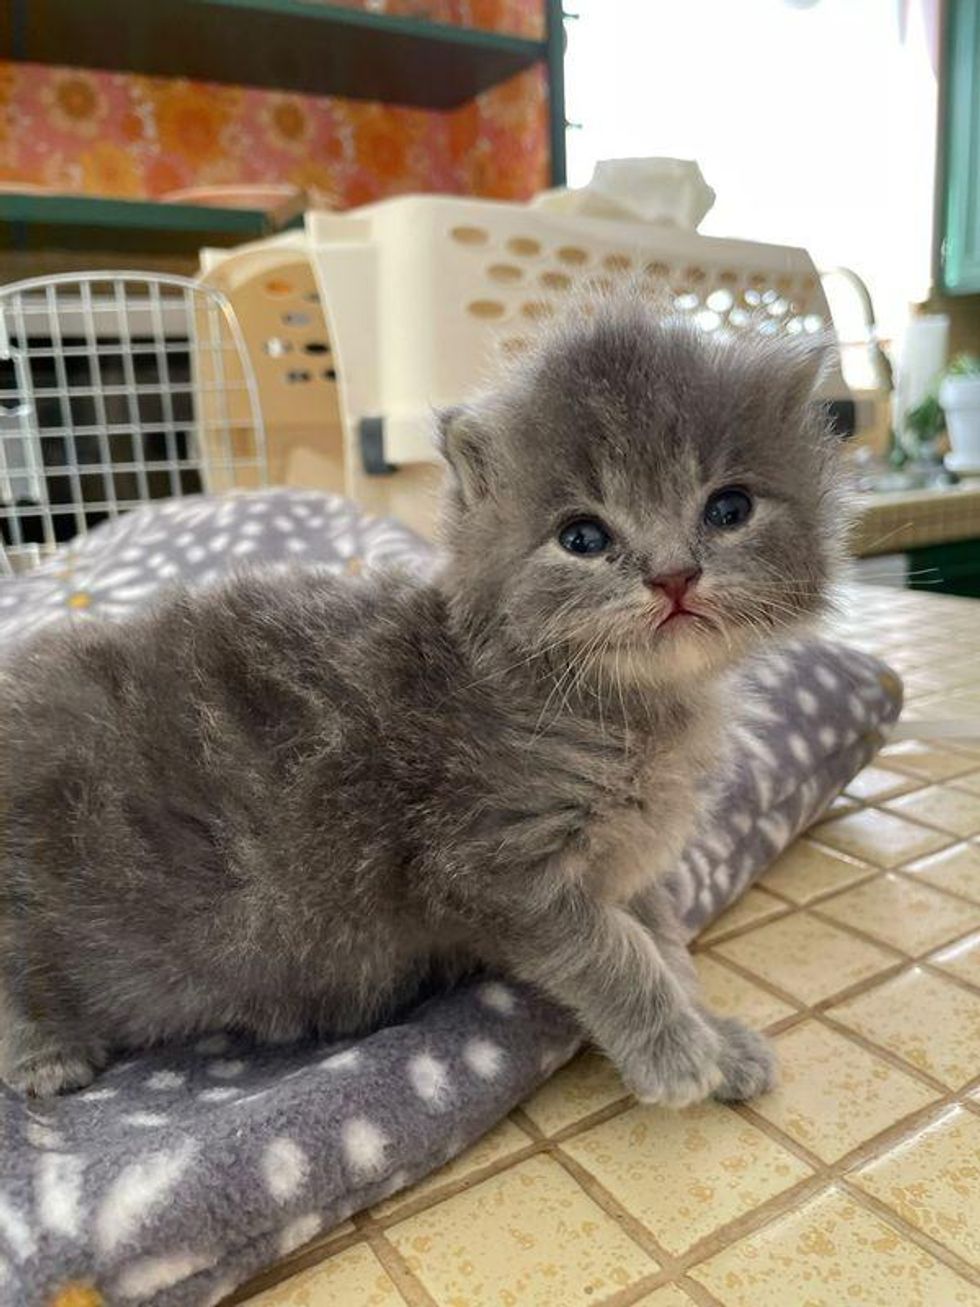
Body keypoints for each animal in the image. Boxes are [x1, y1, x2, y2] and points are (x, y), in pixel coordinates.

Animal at [0, 299, 846, 1103]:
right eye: (582, 537)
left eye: (729, 509)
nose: (674, 576)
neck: (627, 710)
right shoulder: (486, 862)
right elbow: (614, 951)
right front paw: (674, 1052)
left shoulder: (622, 863)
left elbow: (667, 941)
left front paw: (717, 1039)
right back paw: (44, 1052)